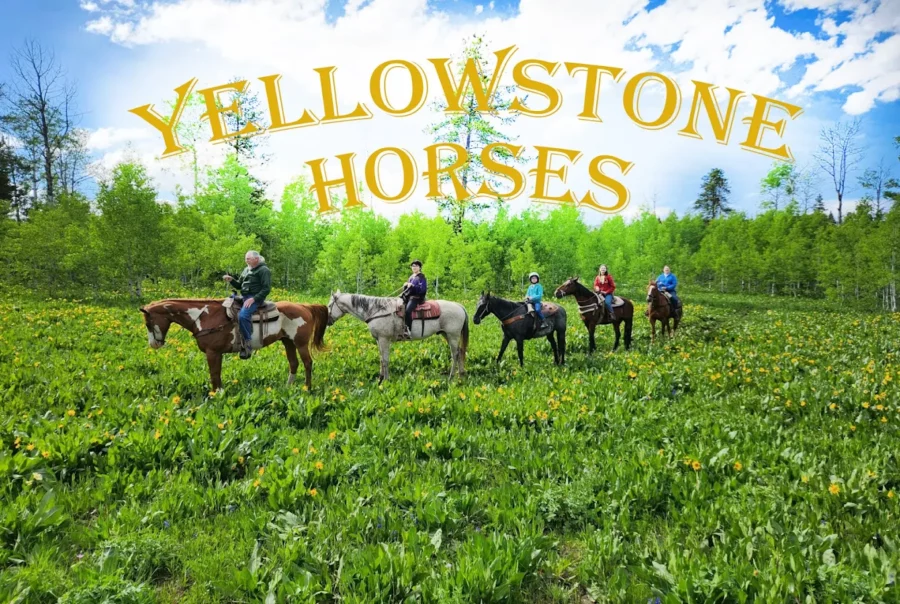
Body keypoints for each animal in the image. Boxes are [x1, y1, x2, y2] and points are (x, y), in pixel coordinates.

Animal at [139, 298, 329, 391]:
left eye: (148, 323)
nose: (154, 344)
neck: (203, 316)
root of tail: (304, 306)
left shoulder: (213, 352)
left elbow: (214, 375)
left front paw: (217, 395)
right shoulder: (216, 354)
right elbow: (217, 375)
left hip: (300, 343)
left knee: (307, 363)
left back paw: (307, 388)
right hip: (288, 341)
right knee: (293, 363)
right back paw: (288, 388)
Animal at [326, 291, 468, 383]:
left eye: (329, 305)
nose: (328, 321)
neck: (376, 311)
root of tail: (459, 306)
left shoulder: (384, 339)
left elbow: (385, 360)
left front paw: (386, 380)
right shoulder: (379, 340)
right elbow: (381, 359)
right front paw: (380, 378)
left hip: (453, 335)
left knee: (455, 354)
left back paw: (451, 377)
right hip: (446, 334)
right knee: (460, 352)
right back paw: (461, 375)